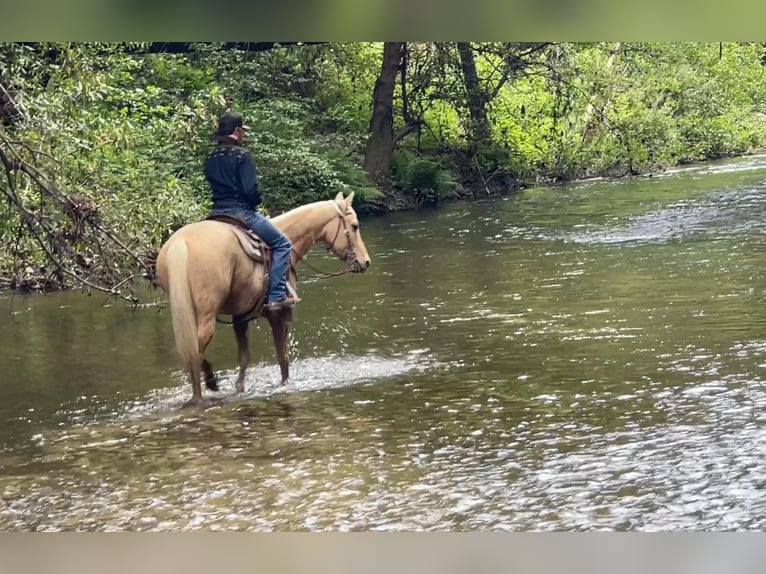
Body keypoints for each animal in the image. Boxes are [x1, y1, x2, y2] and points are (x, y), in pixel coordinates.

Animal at [154, 194, 370, 404]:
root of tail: (180, 243)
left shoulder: (240, 317)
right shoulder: (279, 314)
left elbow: (244, 357)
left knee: (190, 354)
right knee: (195, 353)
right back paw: (204, 390)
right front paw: (284, 386)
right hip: (206, 315)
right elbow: (283, 357)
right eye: (354, 226)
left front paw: (239, 389)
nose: (365, 262)